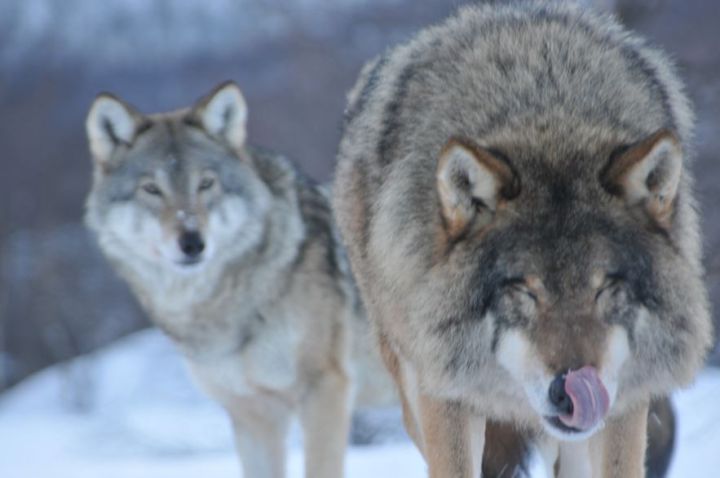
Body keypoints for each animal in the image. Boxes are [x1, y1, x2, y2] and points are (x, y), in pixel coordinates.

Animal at [334, 2, 713, 477]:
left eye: (605, 288)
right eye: (524, 290)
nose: (569, 393)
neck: (548, 124)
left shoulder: (627, 398)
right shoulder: (446, 392)